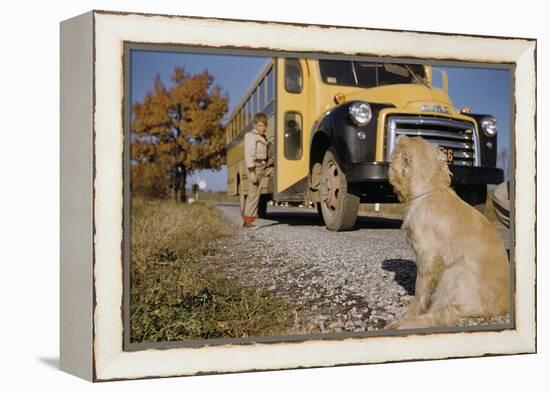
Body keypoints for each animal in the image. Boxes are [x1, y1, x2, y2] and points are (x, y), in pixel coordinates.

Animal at [386, 135, 512, 328]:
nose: (401, 135)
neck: (430, 190)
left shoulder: (427, 257)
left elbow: (419, 290)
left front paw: (409, 312)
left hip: (453, 272)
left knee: (443, 315)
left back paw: (400, 324)